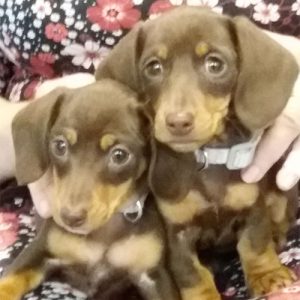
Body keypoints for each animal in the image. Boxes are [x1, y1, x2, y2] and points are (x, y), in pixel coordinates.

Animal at [0, 79, 180, 300]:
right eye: (60, 146)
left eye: (119, 155)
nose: (70, 218)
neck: (104, 231)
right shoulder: (37, 252)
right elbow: (7, 283)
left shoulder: (154, 275)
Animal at [95, 5, 300, 300]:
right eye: (154, 67)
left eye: (215, 64)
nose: (177, 122)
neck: (205, 158)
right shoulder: (176, 235)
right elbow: (192, 274)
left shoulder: (252, 208)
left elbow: (255, 244)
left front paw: (267, 274)